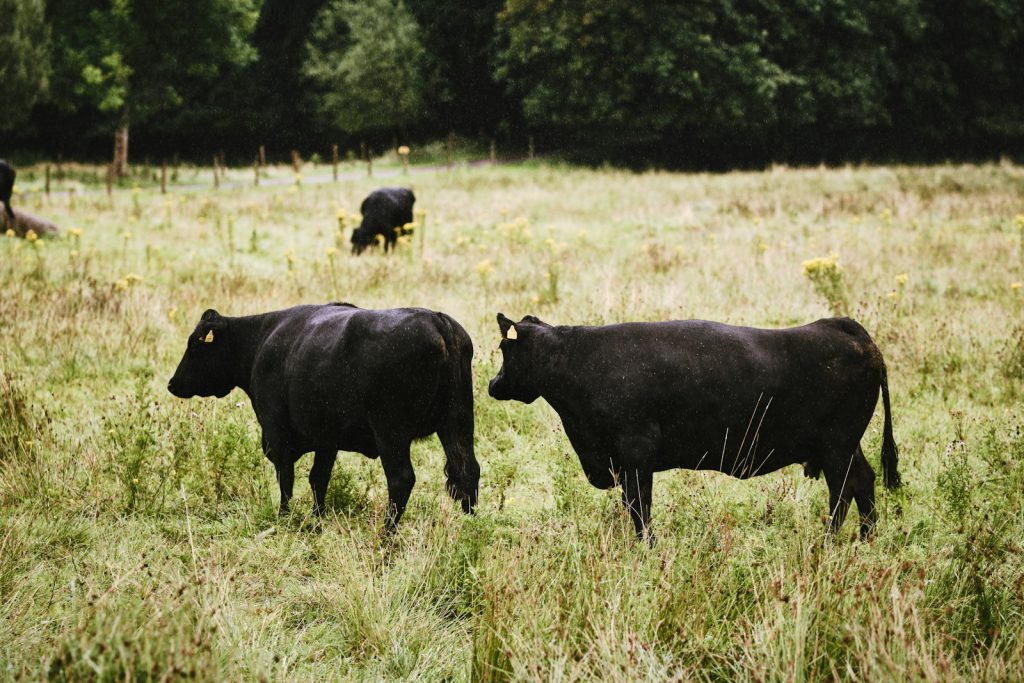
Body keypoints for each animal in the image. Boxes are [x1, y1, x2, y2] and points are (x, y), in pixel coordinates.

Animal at [166, 303, 479, 528]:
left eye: (194, 344)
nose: (172, 384)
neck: (262, 341)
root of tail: (437, 320)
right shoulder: (327, 439)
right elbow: (319, 479)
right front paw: (317, 519)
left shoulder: (276, 432)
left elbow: (286, 478)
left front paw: (284, 518)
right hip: (457, 422)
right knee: (468, 470)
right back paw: (471, 526)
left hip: (391, 432)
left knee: (401, 479)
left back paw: (386, 534)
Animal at [487, 315, 897, 544]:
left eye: (504, 350)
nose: (492, 384)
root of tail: (846, 329)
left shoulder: (635, 456)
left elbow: (640, 509)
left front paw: (646, 549)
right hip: (845, 446)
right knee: (863, 482)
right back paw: (865, 540)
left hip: (837, 447)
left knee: (843, 491)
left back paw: (828, 543)